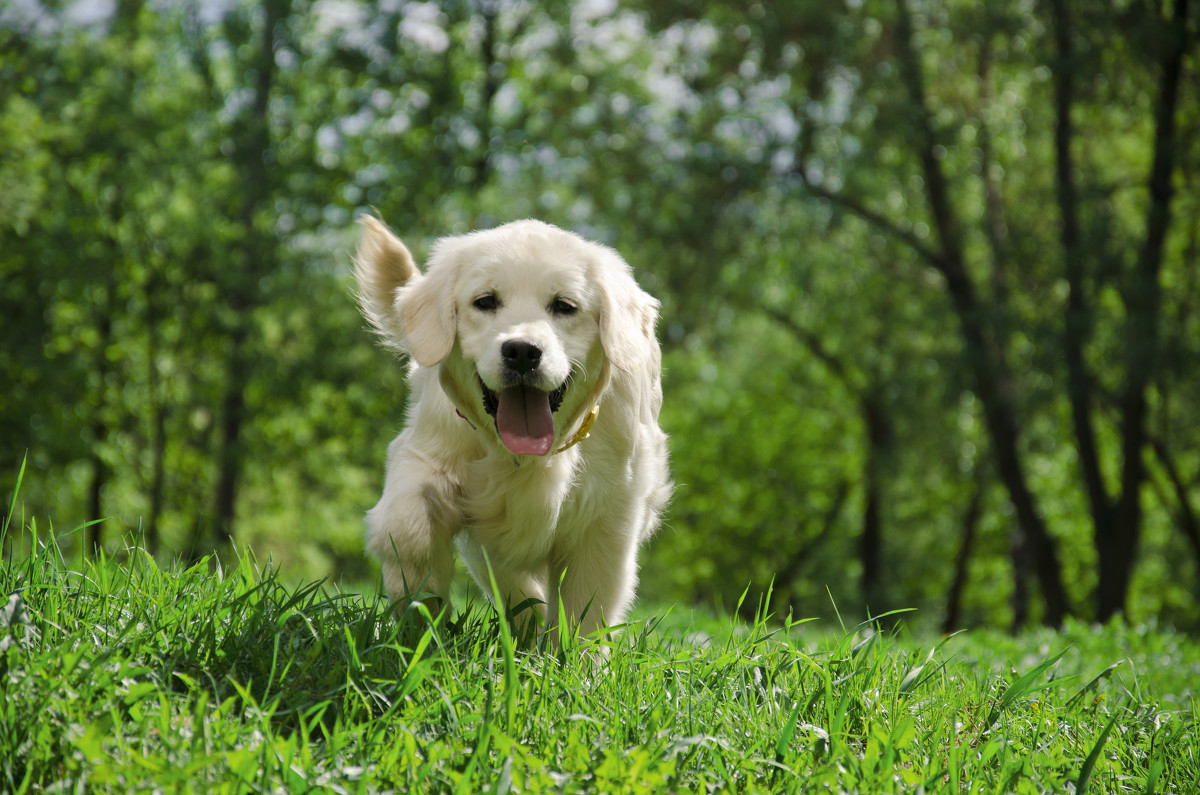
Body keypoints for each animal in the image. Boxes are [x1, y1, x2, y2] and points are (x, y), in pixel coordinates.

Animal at [352, 216, 676, 643]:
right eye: (485, 301)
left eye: (564, 306)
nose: (522, 351)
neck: (524, 458)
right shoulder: (425, 453)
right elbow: (407, 526)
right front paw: (422, 611)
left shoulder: (611, 513)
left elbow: (584, 608)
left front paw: (572, 660)